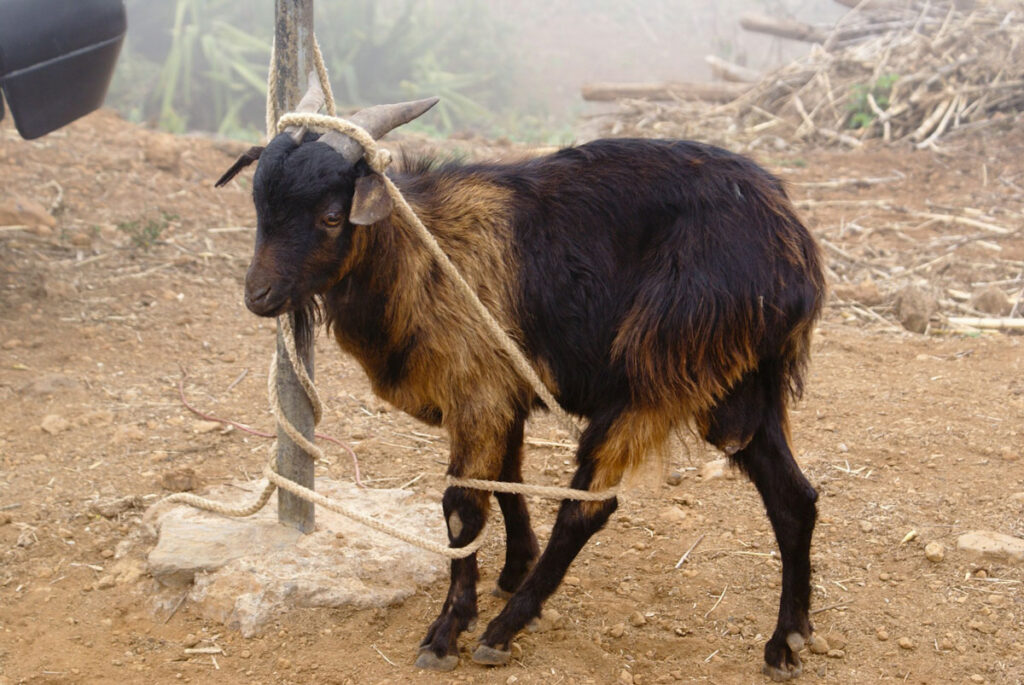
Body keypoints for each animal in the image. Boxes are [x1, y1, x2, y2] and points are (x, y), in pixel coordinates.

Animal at [217, 83, 825, 680]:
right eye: (259, 206)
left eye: (331, 216)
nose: (258, 296)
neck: (421, 254)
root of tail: (793, 245)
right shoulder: (503, 392)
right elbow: (507, 481)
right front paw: (512, 568)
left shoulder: (478, 390)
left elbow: (462, 506)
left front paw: (448, 630)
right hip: (738, 388)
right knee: (794, 497)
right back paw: (787, 641)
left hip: (657, 368)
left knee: (587, 507)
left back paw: (502, 631)